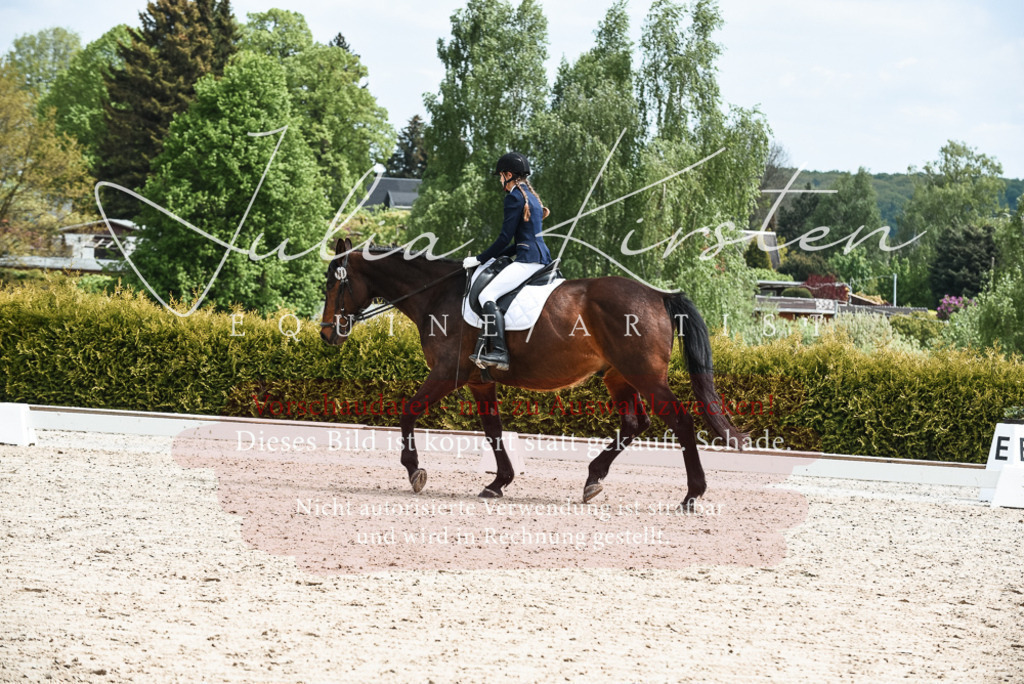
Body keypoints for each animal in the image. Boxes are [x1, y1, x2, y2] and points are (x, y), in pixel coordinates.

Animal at [320, 238, 747, 510]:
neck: (437, 293)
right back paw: (593, 479)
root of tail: (658, 295)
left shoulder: (446, 374)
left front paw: (414, 472)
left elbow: (407, 412)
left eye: (333, 285)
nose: (327, 334)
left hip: (645, 375)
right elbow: (493, 430)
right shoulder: (478, 381)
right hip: (619, 376)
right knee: (634, 422)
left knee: (681, 421)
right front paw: (498, 483)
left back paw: (692, 495)